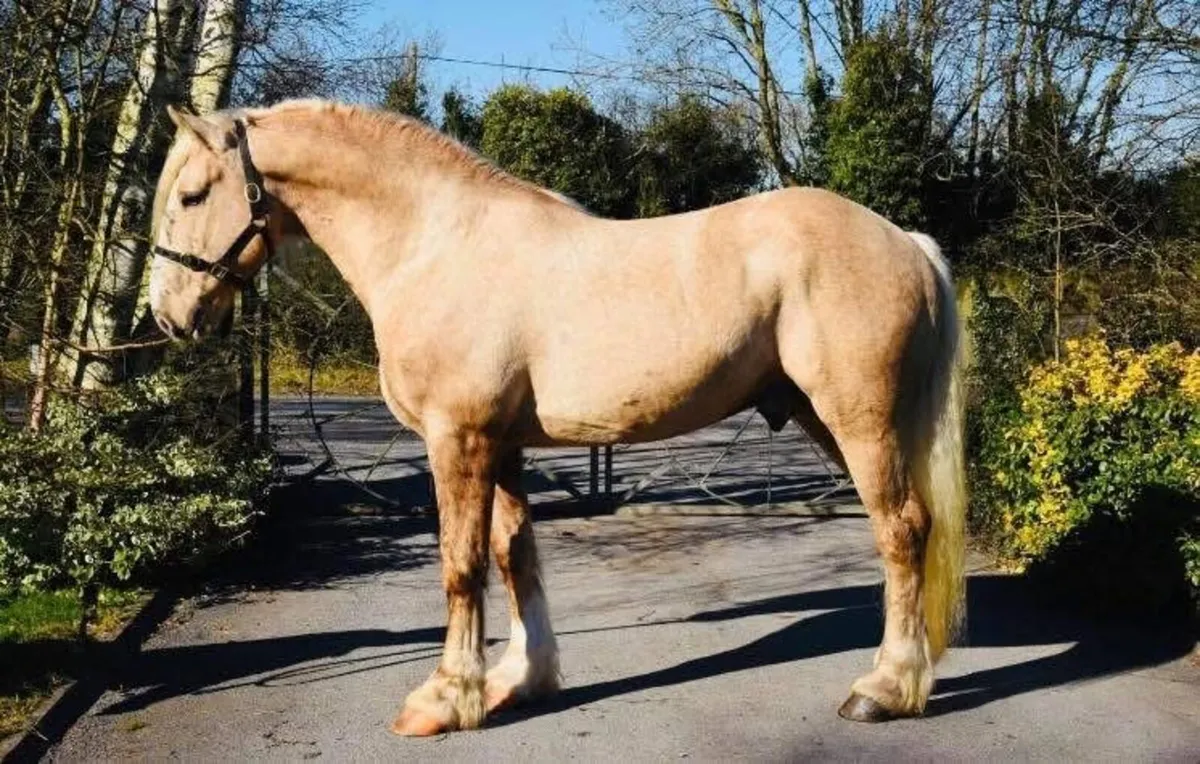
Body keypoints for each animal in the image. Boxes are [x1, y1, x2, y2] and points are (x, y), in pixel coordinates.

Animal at [148, 99, 966, 737]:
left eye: (191, 195)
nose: (167, 318)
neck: (434, 245)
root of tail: (906, 242)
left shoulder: (457, 440)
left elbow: (460, 565)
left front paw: (445, 699)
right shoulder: (501, 446)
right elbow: (515, 555)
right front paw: (518, 680)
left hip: (860, 423)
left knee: (901, 532)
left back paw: (883, 688)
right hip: (829, 420)